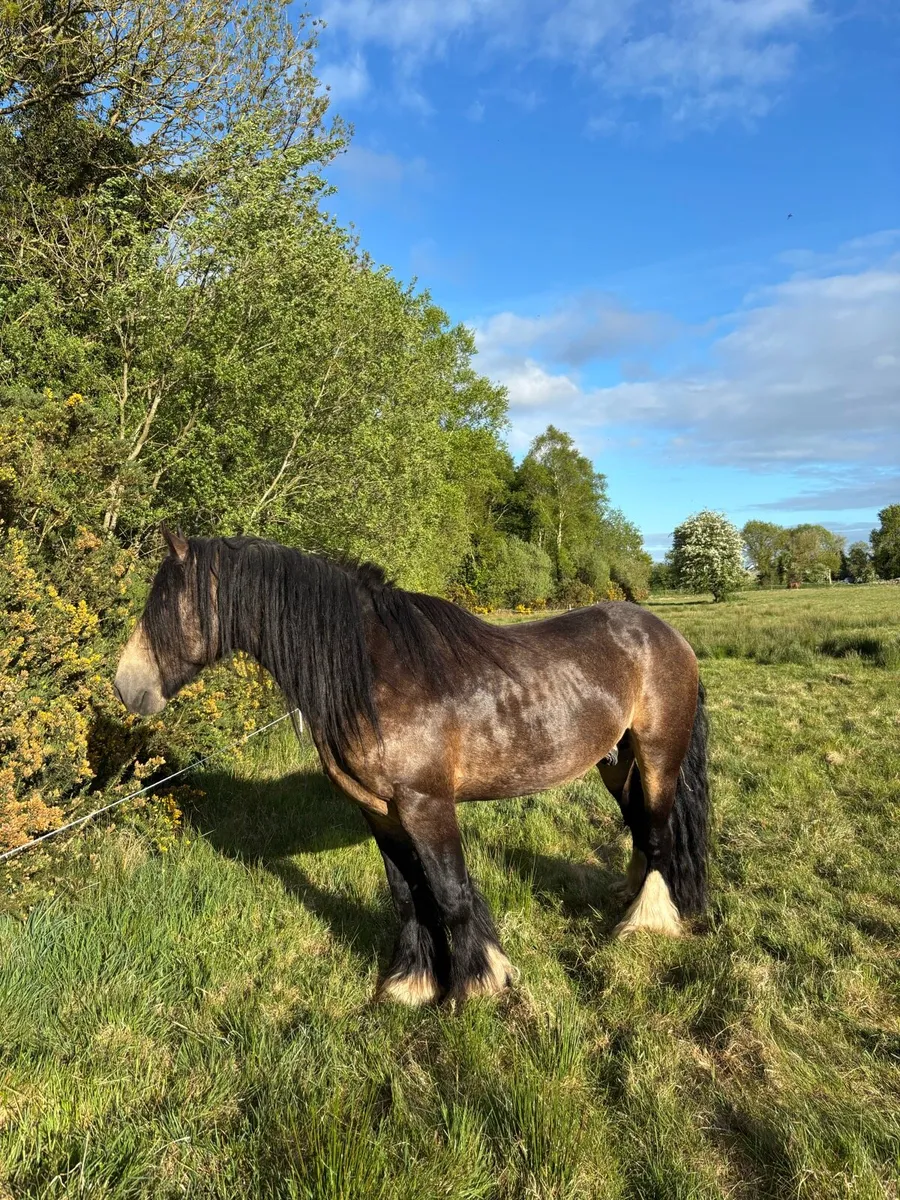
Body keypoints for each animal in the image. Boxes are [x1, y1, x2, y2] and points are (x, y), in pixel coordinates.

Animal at [114, 527, 709, 1006]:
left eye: (163, 602)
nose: (126, 685)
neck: (373, 673)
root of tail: (666, 634)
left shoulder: (426, 805)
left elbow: (450, 895)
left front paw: (476, 986)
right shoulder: (379, 811)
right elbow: (408, 896)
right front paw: (411, 984)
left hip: (658, 757)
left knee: (658, 834)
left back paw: (645, 924)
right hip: (616, 763)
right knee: (639, 828)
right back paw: (630, 903)